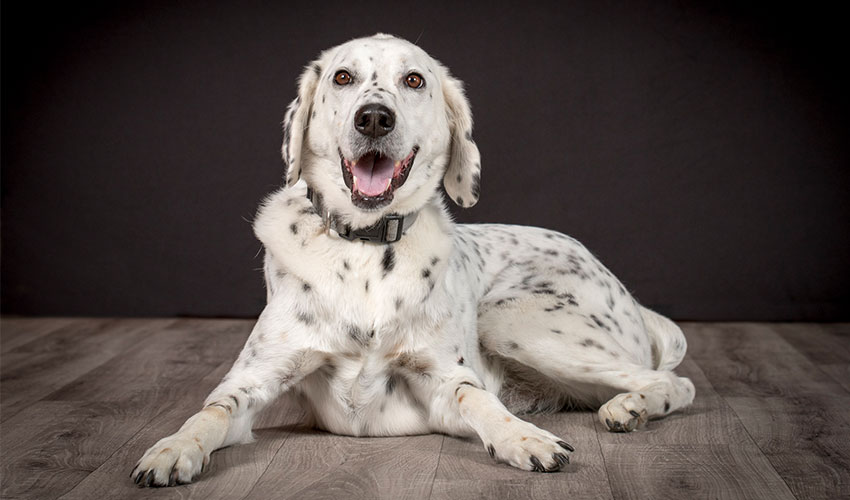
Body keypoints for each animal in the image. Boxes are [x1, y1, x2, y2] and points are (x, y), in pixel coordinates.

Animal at [131, 33, 688, 486]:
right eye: (342, 77)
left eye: (414, 80)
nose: (375, 117)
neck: (364, 248)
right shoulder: (252, 379)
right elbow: (211, 412)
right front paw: (172, 448)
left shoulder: (444, 384)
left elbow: (478, 399)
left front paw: (524, 437)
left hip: (511, 319)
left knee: (673, 382)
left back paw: (629, 408)